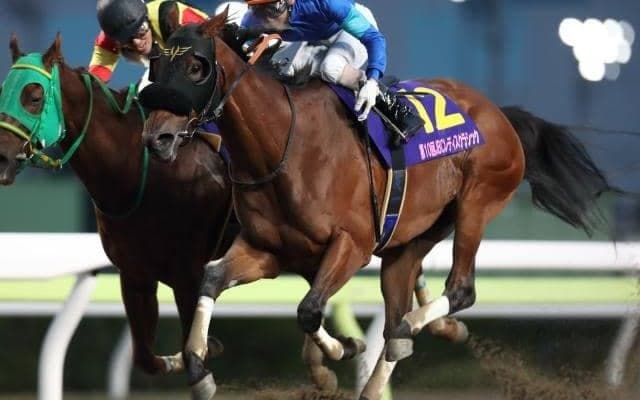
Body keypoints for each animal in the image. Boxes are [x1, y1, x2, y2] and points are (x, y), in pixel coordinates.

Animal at [0, 34, 238, 378]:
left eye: (33, 96)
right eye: (2, 92)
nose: (2, 158)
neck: (141, 173)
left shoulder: (189, 273)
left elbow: (192, 346)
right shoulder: (135, 273)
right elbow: (148, 358)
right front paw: (195, 352)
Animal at [139, 10, 615, 400]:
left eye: (196, 67)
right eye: (156, 66)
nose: (157, 138)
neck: (282, 147)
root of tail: (498, 113)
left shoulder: (353, 244)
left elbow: (309, 309)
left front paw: (343, 348)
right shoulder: (268, 250)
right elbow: (212, 279)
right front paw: (199, 369)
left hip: (478, 202)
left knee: (456, 292)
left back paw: (414, 328)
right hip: (410, 241)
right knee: (398, 308)